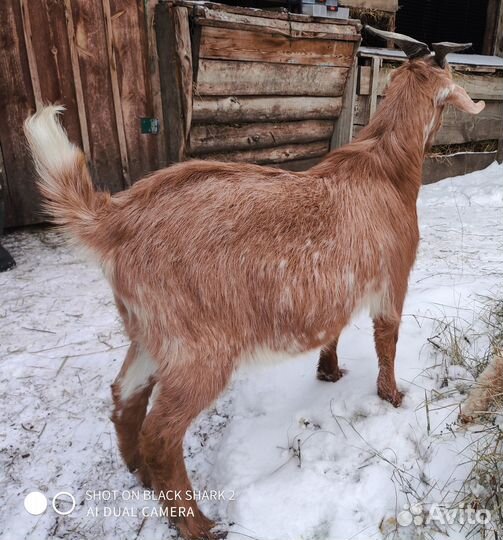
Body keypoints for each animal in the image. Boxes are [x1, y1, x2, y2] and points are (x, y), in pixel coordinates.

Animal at [25, 28, 486, 536]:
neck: (384, 167)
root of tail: (115, 219)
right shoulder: (393, 278)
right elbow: (387, 339)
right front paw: (393, 397)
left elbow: (334, 328)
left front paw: (328, 371)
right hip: (199, 348)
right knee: (160, 435)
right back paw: (198, 523)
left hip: (150, 332)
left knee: (124, 397)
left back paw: (139, 476)